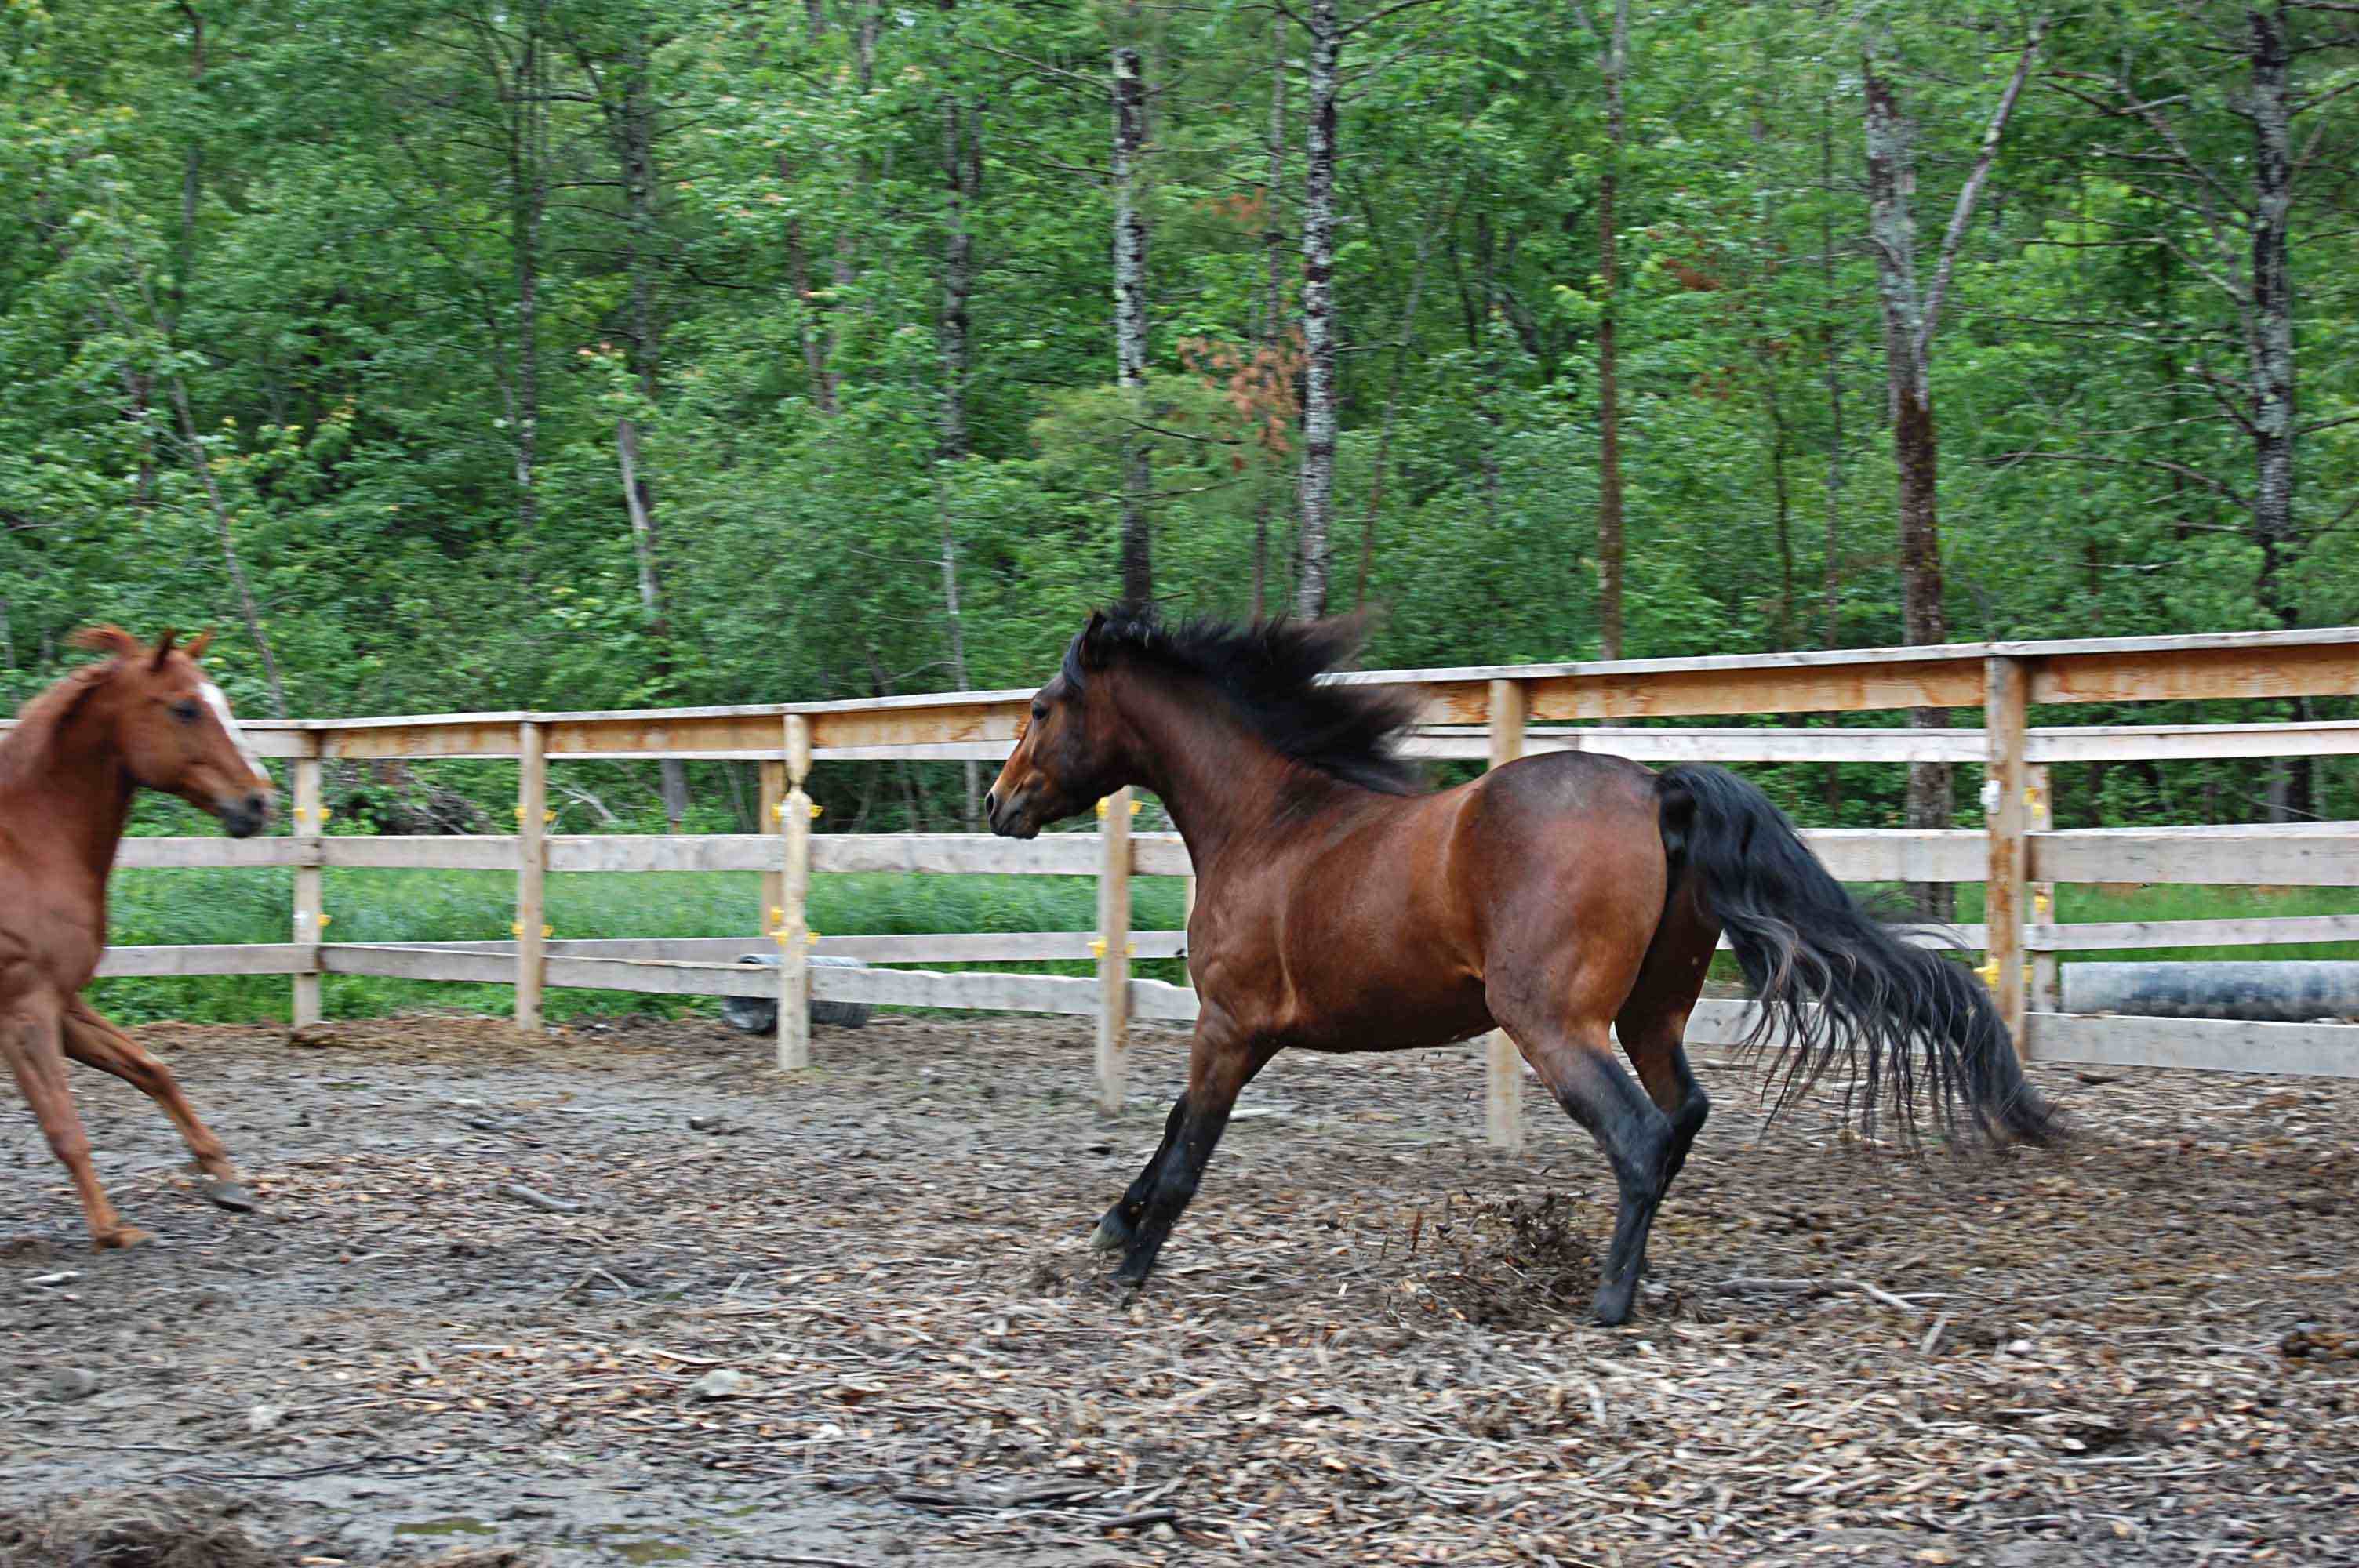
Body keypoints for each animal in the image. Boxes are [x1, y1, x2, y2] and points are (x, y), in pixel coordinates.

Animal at [3, 622, 275, 1244]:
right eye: (185, 708)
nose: (258, 801)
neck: (26, 850)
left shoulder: (63, 1001)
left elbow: (152, 1069)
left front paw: (226, 1179)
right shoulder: (24, 1011)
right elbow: (64, 1126)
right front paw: (112, 1230)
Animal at [986, 612, 2056, 1320]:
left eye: (1039, 708)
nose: (1000, 805)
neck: (1267, 824)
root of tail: (1655, 789)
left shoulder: (1230, 1024)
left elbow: (1186, 1150)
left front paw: (1128, 1265)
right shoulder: (1237, 1031)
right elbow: (1173, 1129)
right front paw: (1110, 1229)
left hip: (1550, 1021)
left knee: (1637, 1133)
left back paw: (1607, 1301)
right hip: (1648, 1015)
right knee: (1681, 1116)